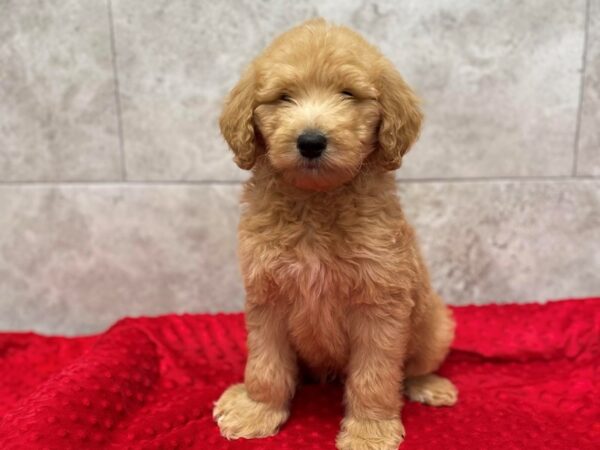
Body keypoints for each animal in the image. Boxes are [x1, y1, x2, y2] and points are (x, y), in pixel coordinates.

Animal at [213, 18, 458, 450]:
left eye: (347, 94)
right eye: (284, 97)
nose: (311, 141)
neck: (317, 201)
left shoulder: (380, 303)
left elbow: (375, 377)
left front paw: (370, 431)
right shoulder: (267, 297)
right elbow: (265, 365)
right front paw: (258, 409)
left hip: (434, 327)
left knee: (415, 366)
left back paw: (430, 385)